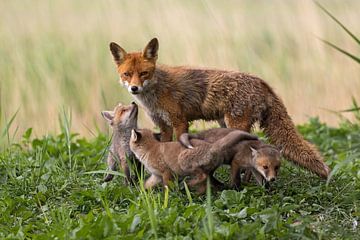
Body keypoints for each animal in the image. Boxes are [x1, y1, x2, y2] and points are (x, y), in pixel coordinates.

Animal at [108, 37, 330, 176]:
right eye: (127, 74)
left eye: (143, 73)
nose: (134, 88)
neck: (156, 92)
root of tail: (262, 82)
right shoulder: (163, 125)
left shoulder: (179, 121)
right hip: (226, 125)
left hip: (236, 124)